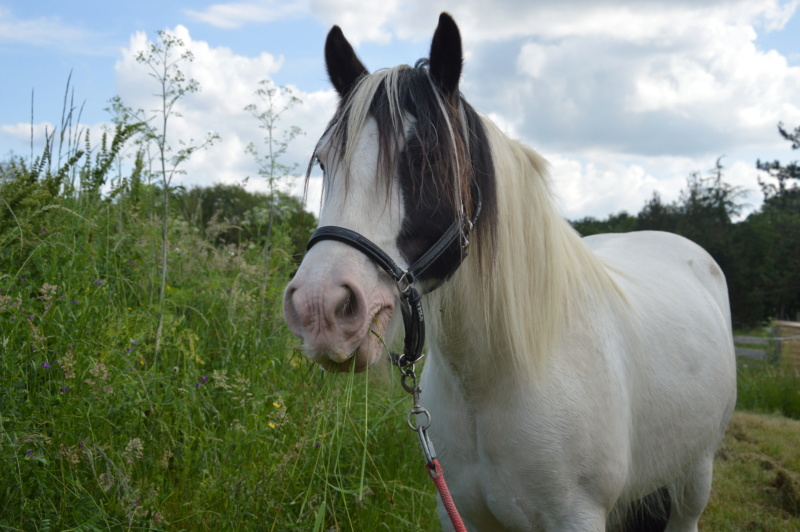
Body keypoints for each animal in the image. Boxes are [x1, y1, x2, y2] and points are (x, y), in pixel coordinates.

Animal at [282, 12, 736, 532]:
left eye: (427, 157)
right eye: (324, 162)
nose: (320, 307)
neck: (495, 380)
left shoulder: (578, 516)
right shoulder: (460, 511)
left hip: (695, 474)